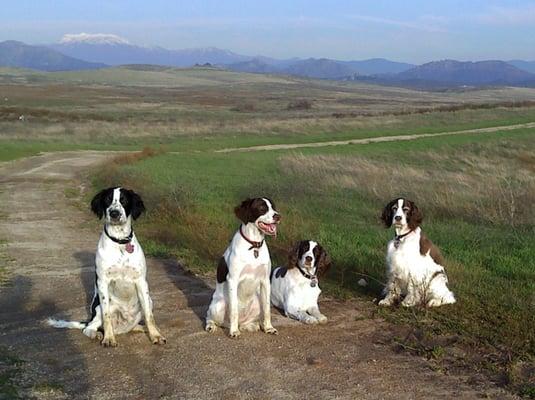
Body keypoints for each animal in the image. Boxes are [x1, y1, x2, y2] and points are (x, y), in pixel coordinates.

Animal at [47, 186, 166, 346]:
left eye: (124, 200)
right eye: (107, 200)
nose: (114, 213)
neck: (120, 242)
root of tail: (120, 329)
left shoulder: (141, 281)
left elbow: (149, 315)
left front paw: (155, 335)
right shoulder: (103, 282)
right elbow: (107, 315)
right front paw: (108, 338)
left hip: (149, 301)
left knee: (136, 324)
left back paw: (142, 328)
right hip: (97, 309)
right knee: (89, 327)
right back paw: (97, 334)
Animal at [204, 197, 280, 338]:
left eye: (273, 207)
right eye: (262, 208)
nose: (278, 216)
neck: (254, 245)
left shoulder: (265, 281)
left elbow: (267, 310)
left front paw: (268, 328)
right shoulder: (233, 280)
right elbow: (234, 311)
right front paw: (233, 332)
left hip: (256, 303)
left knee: (247, 320)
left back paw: (250, 326)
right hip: (219, 305)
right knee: (209, 317)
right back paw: (213, 326)